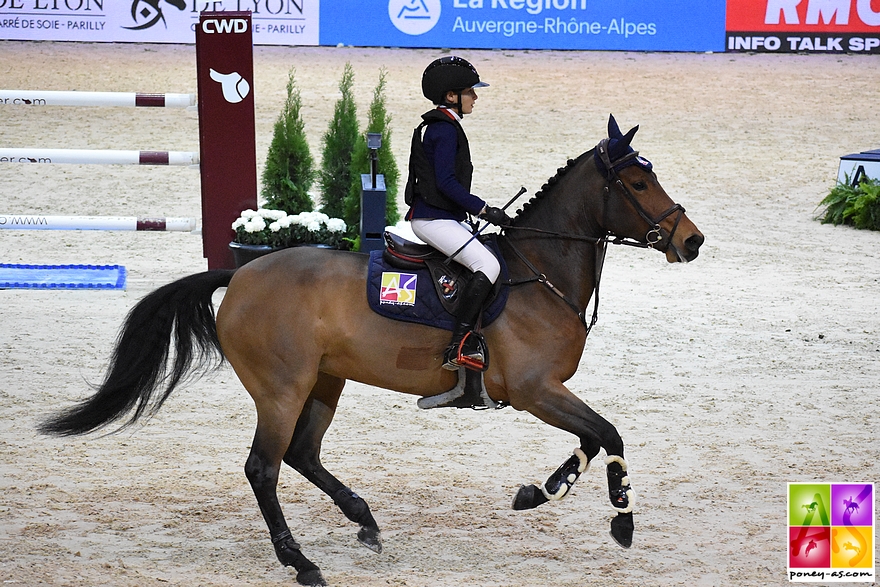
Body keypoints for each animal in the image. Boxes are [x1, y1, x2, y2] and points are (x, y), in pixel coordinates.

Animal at [39, 116, 700, 587]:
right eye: (638, 183)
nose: (692, 242)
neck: (538, 272)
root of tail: (241, 274)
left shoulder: (544, 393)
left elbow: (594, 437)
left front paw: (543, 491)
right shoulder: (537, 390)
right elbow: (608, 434)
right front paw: (618, 517)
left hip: (324, 382)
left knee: (302, 455)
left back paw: (366, 522)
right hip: (281, 389)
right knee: (264, 468)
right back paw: (302, 563)